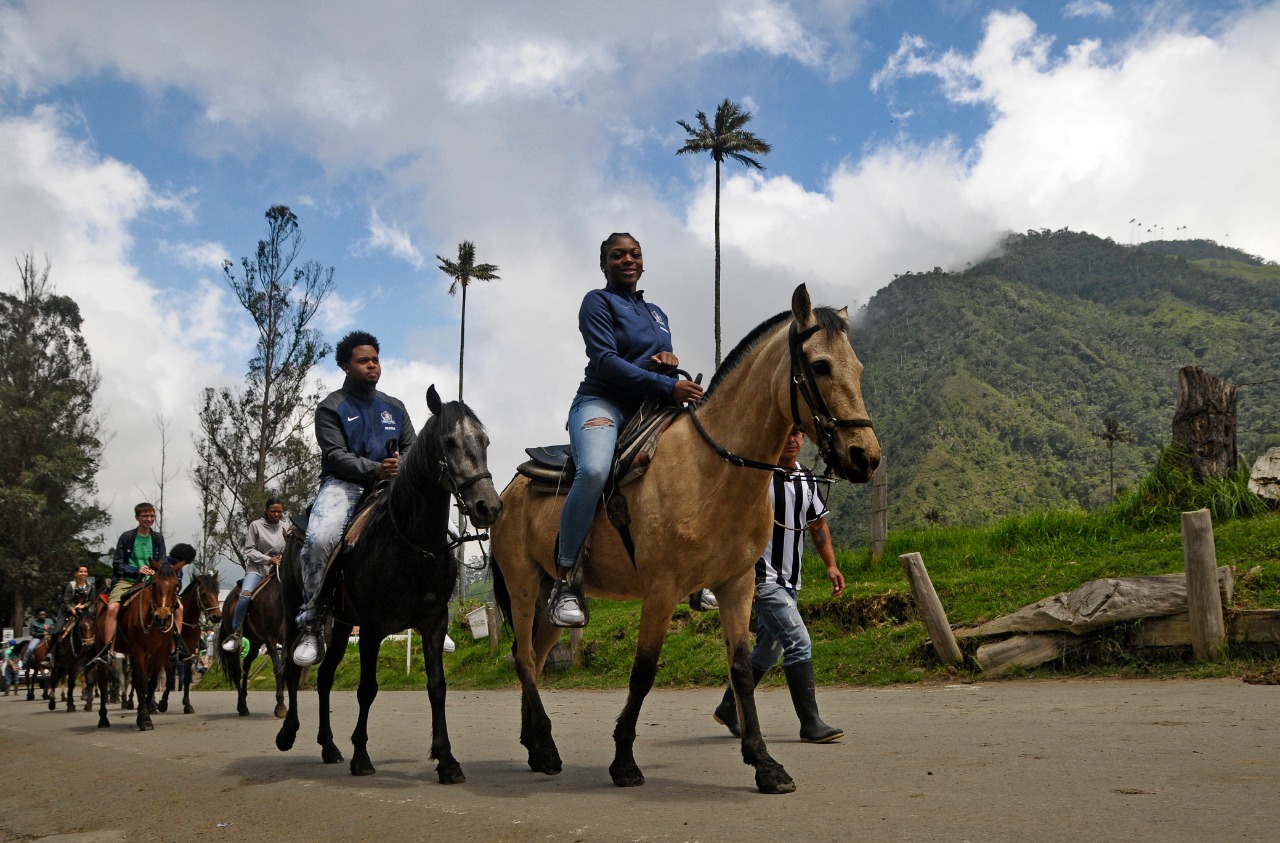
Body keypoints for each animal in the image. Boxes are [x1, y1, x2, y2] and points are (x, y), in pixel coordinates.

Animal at [91, 557, 186, 726]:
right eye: (154, 584)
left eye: (176, 585)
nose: (162, 617)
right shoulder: (139, 650)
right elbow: (142, 682)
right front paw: (145, 719)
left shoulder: (158, 651)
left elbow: (152, 681)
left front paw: (146, 710)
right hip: (102, 646)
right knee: (102, 682)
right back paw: (103, 719)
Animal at [217, 573, 288, 721]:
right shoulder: (270, 639)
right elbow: (278, 668)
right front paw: (280, 706)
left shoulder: (285, 640)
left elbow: (283, 668)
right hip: (237, 644)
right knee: (237, 671)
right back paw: (242, 706)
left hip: (255, 643)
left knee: (246, 665)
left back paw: (243, 700)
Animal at [273, 388, 499, 782]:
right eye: (449, 441)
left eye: (483, 441)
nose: (488, 506)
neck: (411, 543)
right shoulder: (373, 629)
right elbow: (367, 689)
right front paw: (361, 757)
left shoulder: (433, 623)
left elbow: (437, 687)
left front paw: (447, 760)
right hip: (294, 613)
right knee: (291, 666)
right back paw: (288, 733)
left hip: (340, 624)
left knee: (324, 678)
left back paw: (329, 746)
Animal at [488, 286, 880, 793]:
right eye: (820, 366)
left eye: (858, 368)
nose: (865, 457)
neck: (712, 468)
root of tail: (508, 489)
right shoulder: (660, 591)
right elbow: (642, 672)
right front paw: (624, 760)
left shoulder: (737, 585)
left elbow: (741, 671)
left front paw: (764, 763)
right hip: (520, 583)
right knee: (522, 658)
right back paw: (545, 747)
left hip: (550, 597)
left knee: (534, 658)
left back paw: (536, 746)